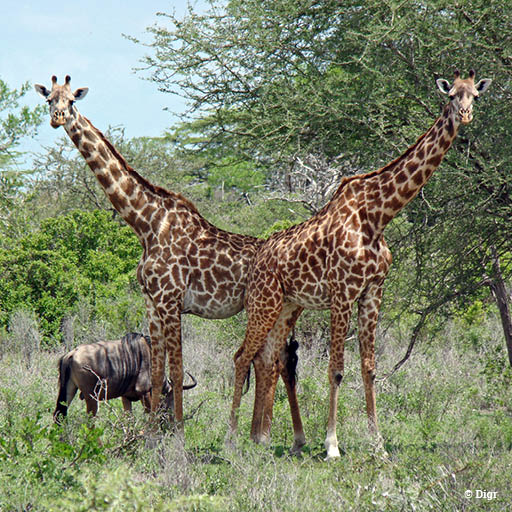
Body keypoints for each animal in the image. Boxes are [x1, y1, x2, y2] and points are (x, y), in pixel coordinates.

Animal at [33, 75, 276, 436]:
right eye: (49, 99)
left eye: (72, 101)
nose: (58, 117)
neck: (147, 223)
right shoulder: (151, 301)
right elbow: (157, 372)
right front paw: (150, 434)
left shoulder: (171, 300)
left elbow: (175, 370)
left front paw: (178, 432)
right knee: (268, 360)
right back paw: (260, 433)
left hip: (262, 308)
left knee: (255, 359)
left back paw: (245, 433)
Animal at [229, 69, 492, 460]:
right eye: (450, 96)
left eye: (475, 94)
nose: (465, 115)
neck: (378, 215)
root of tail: (258, 257)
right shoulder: (342, 294)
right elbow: (336, 369)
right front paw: (332, 446)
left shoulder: (372, 292)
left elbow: (369, 368)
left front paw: (378, 445)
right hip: (262, 303)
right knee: (241, 356)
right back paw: (232, 440)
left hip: (286, 306)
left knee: (267, 358)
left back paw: (261, 440)